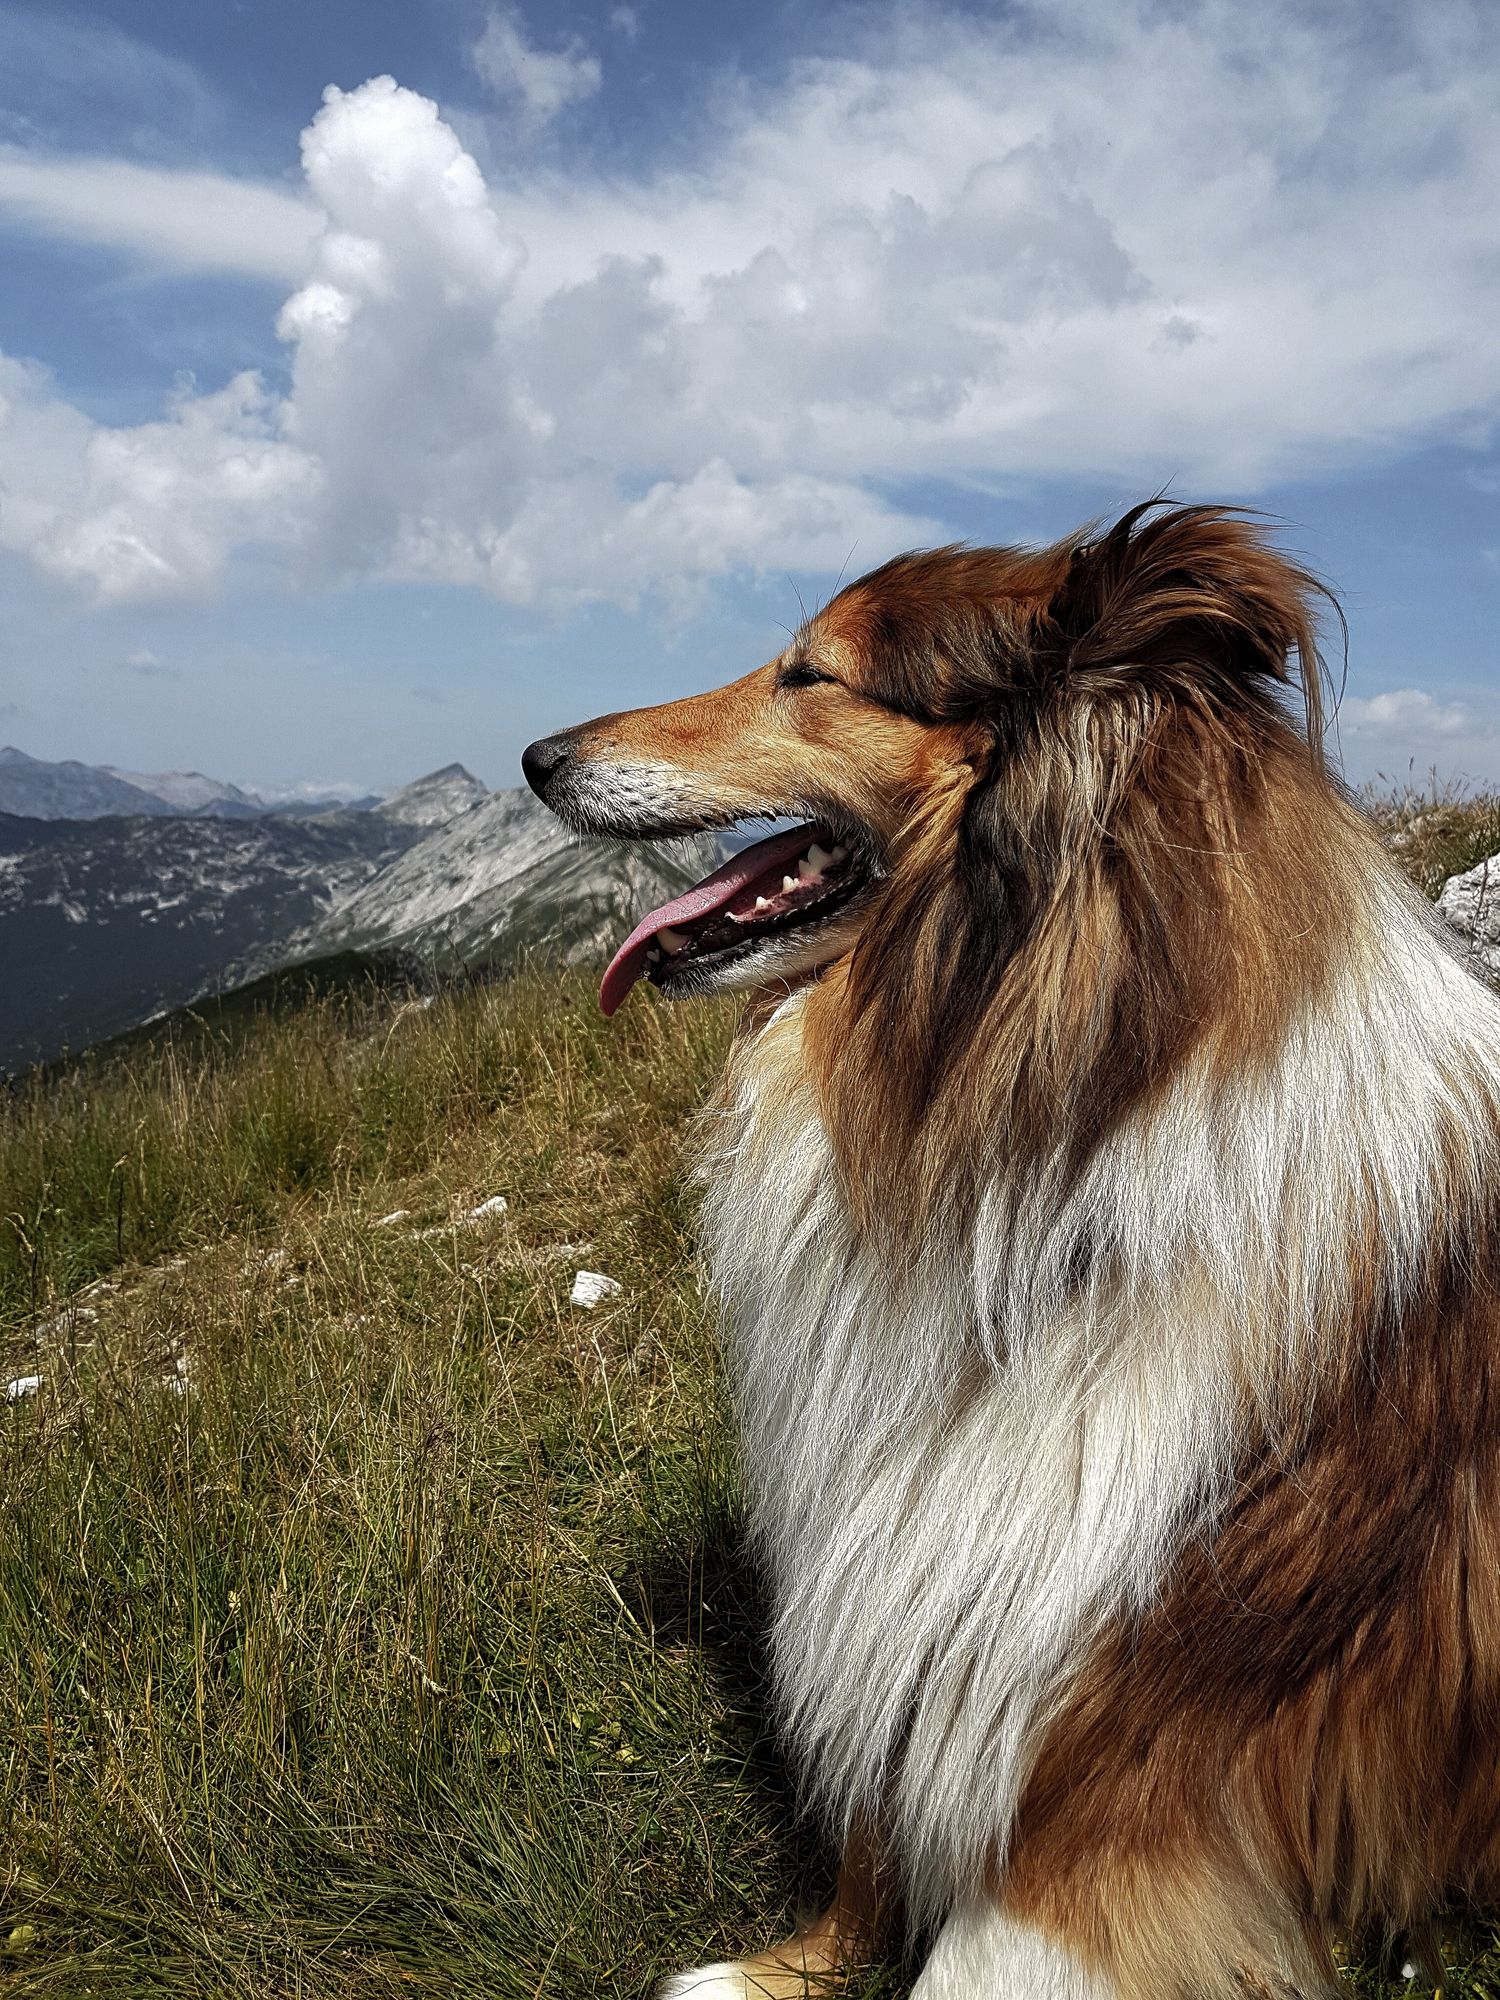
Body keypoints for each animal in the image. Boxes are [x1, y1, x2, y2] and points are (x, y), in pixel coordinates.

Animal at [524, 508, 1500, 2000]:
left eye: (811, 675)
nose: (536, 757)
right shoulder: (946, 1607)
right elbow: (879, 1837)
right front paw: (781, 1968)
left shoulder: (1121, 1805)